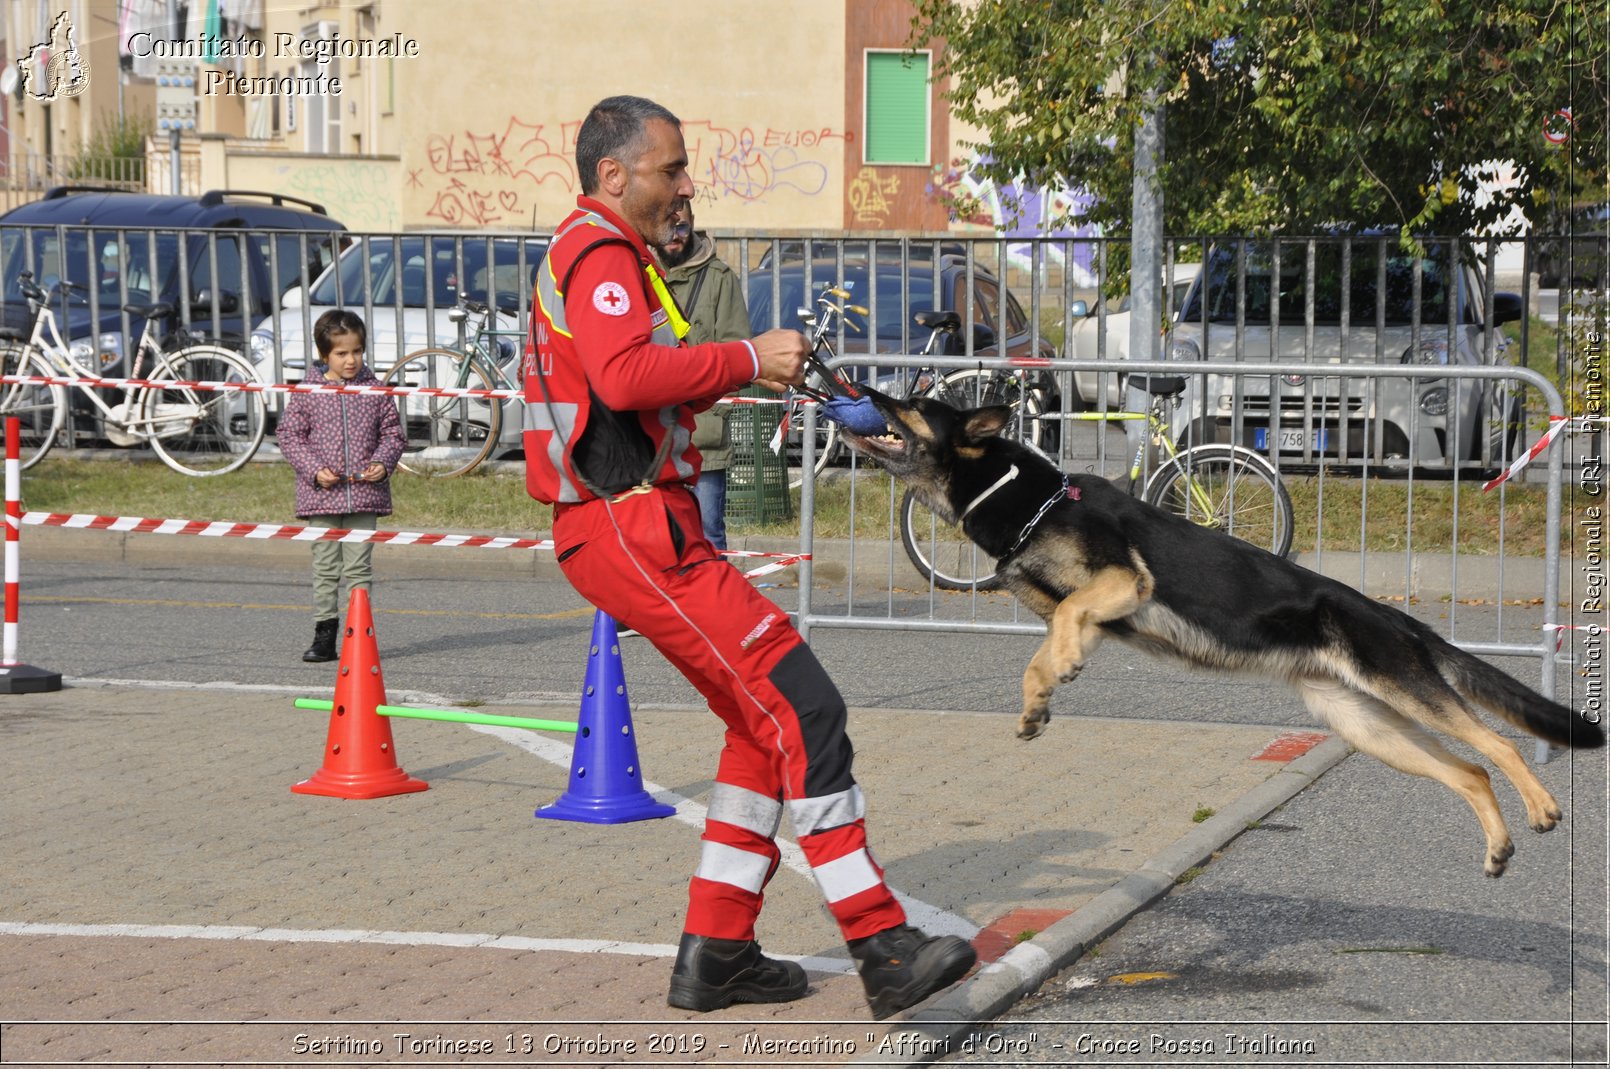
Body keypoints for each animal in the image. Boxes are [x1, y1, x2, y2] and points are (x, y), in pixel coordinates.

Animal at [837, 387, 1603, 875]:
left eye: (914, 406)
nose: (860, 389)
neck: (1030, 498)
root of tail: (1395, 614)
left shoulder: (1125, 582)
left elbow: (1066, 619)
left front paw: (1058, 675)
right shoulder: (1086, 604)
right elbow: (1051, 639)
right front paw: (1041, 698)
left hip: (1405, 693)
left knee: (1498, 744)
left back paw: (1540, 806)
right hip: (1371, 726)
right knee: (1469, 769)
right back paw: (1499, 845)